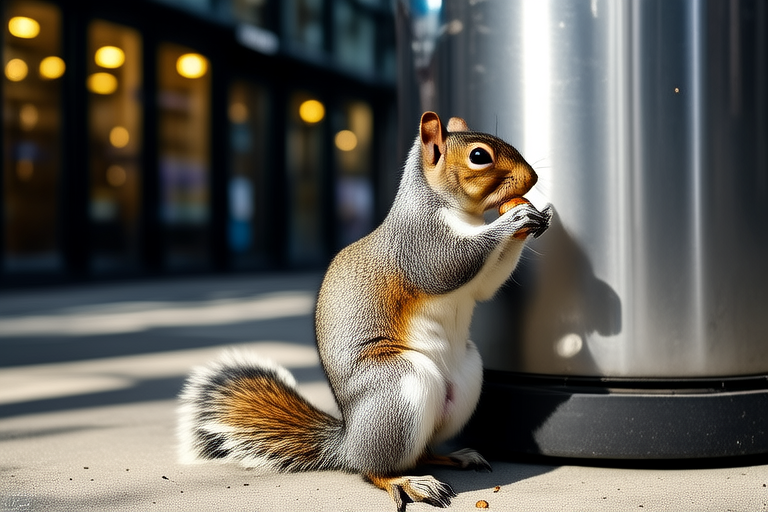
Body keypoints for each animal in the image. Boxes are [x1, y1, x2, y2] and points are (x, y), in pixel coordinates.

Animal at [177, 111, 552, 511]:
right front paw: (514, 220)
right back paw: (407, 482)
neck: (461, 214)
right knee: (374, 469)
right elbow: (448, 264)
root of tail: (347, 444)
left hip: (466, 379)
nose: (533, 178)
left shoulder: (474, 278)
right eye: (479, 156)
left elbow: (486, 285)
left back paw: (455, 457)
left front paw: (537, 215)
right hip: (397, 387)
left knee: (422, 451)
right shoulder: (418, 243)